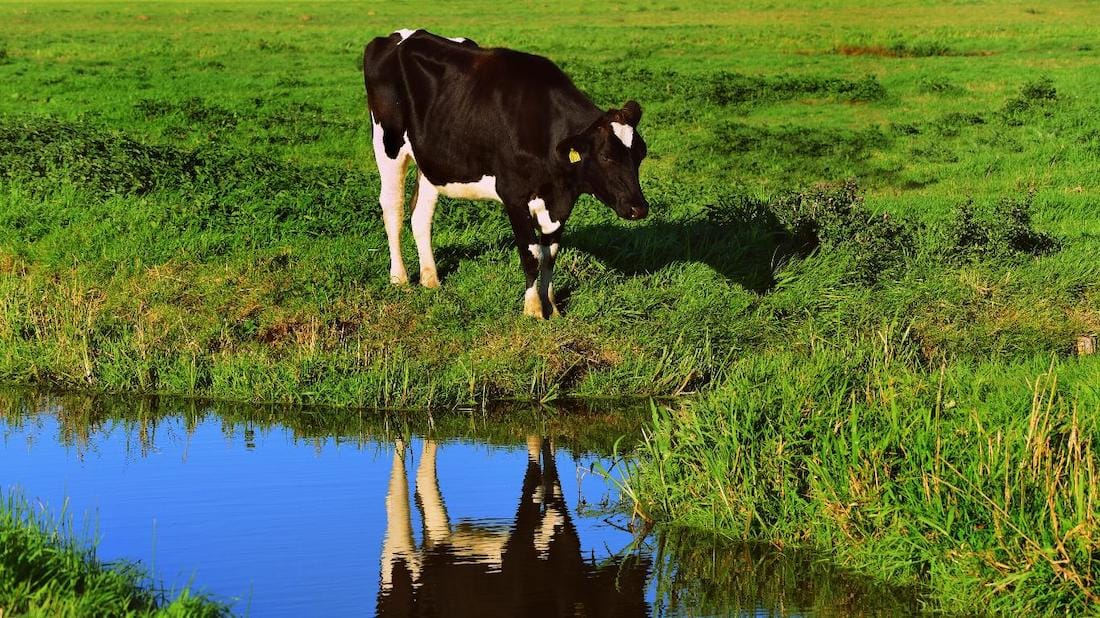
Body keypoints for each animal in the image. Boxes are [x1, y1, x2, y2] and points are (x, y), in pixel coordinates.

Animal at [365, 28, 646, 316]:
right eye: (606, 156)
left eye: (640, 155)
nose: (639, 208)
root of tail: (401, 35)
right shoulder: (513, 194)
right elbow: (531, 253)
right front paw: (533, 311)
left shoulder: (561, 200)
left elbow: (550, 253)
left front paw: (552, 308)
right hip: (388, 144)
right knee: (393, 208)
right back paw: (399, 278)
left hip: (433, 160)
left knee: (421, 213)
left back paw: (430, 279)